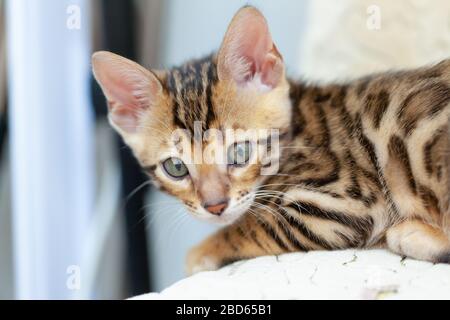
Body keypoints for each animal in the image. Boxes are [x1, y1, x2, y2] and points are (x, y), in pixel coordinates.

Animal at [93, 6, 450, 274]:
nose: (215, 206)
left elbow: (253, 224)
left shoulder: (344, 201)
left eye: (239, 152)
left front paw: (200, 252)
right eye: (176, 168)